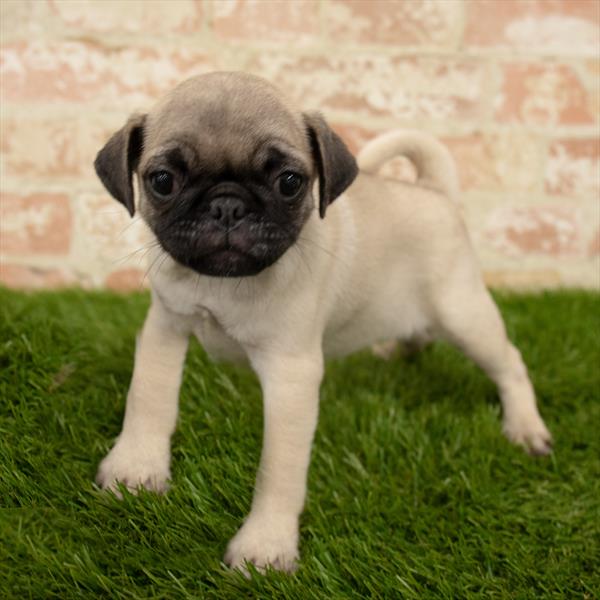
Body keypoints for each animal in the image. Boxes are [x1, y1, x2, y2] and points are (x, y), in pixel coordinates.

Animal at [95, 72, 552, 576]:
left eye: (290, 182)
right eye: (162, 181)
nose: (227, 205)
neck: (225, 285)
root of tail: (436, 192)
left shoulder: (291, 377)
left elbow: (279, 471)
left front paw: (265, 546)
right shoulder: (166, 326)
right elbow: (148, 400)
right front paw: (136, 469)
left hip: (464, 314)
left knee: (510, 362)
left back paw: (525, 427)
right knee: (420, 334)